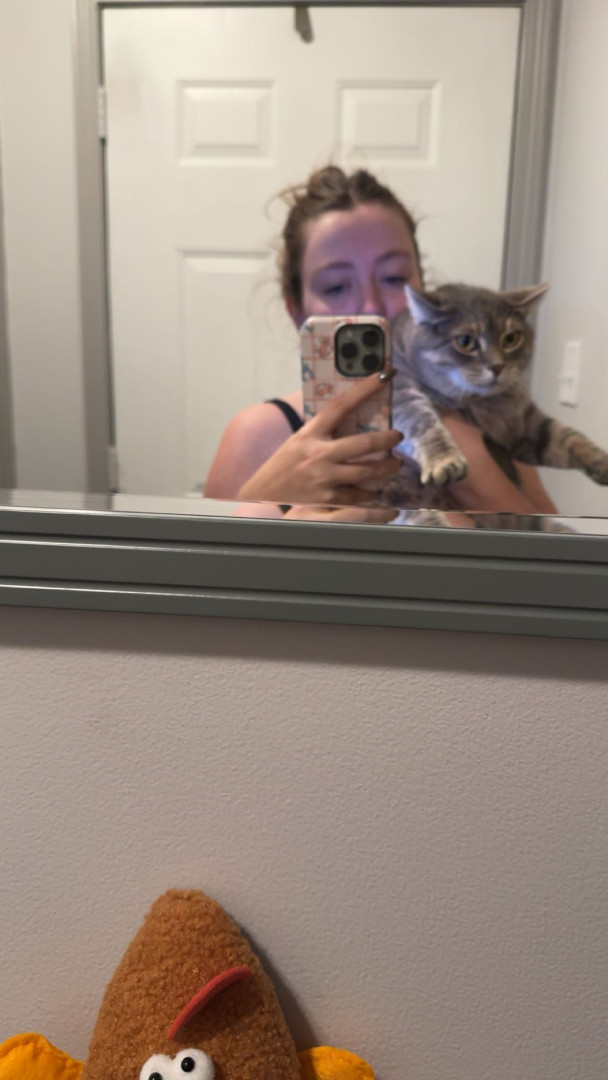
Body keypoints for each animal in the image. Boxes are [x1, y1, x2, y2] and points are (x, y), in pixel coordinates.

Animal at [382, 282, 608, 525]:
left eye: (511, 339)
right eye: (465, 342)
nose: (498, 366)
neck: (482, 403)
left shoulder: (525, 425)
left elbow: (569, 437)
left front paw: (601, 460)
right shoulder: (399, 390)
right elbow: (419, 419)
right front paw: (444, 459)